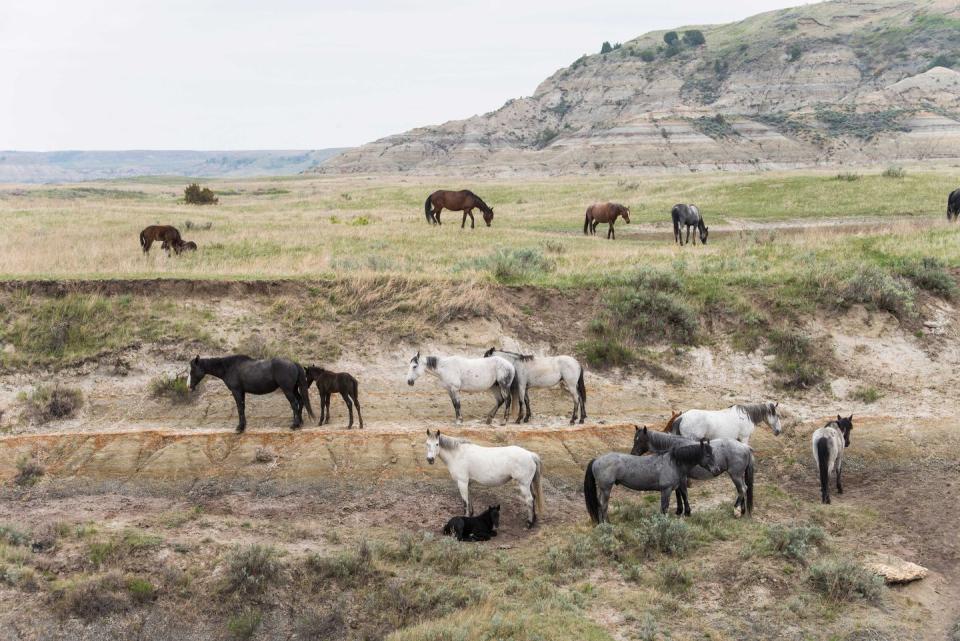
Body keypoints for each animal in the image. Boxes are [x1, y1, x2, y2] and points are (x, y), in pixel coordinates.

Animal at [184, 352, 312, 432]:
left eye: (192, 370)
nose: (189, 386)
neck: (229, 367)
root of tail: (293, 363)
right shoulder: (242, 392)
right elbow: (243, 407)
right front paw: (243, 426)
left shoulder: (236, 391)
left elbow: (239, 408)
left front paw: (240, 428)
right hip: (294, 389)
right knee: (301, 401)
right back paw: (300, 423)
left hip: (287, 390)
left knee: (294, 404)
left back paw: (295, 425)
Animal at [576, 440, 720, 524]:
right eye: (708, 455)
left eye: (713, 454)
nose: (717, 470)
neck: (673, 462)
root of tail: (596, 460)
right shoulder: (666, 490)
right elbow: (664, 507)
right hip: (606, 488)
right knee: (603, 505)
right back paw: (606, 524)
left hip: (603, 488)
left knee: (600, 504)